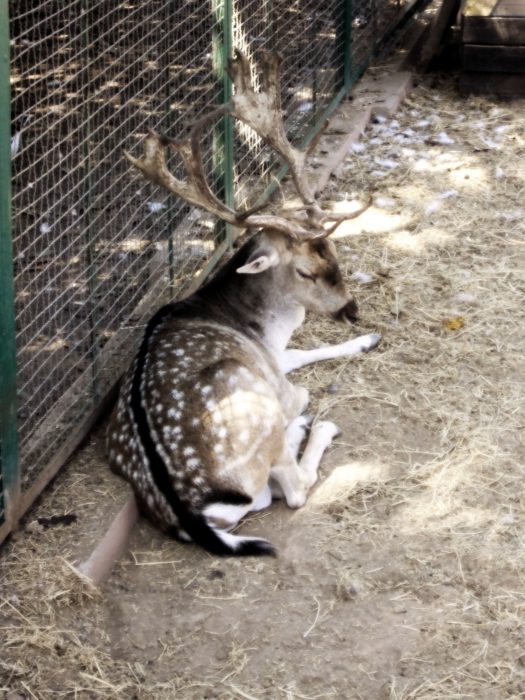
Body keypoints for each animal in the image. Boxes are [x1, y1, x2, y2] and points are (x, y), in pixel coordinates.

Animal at [106, 47, 378, 556]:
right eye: (305, 271)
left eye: (334, 250)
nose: (352, 311)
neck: (259, 327)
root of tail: (194, 514)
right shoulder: (272, 376)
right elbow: (303, 379)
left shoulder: (271, 356)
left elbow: (305, 351)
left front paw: (368, 339)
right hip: (253, 403)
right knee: (293, 490)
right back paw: (314, 427)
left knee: (265, 497)